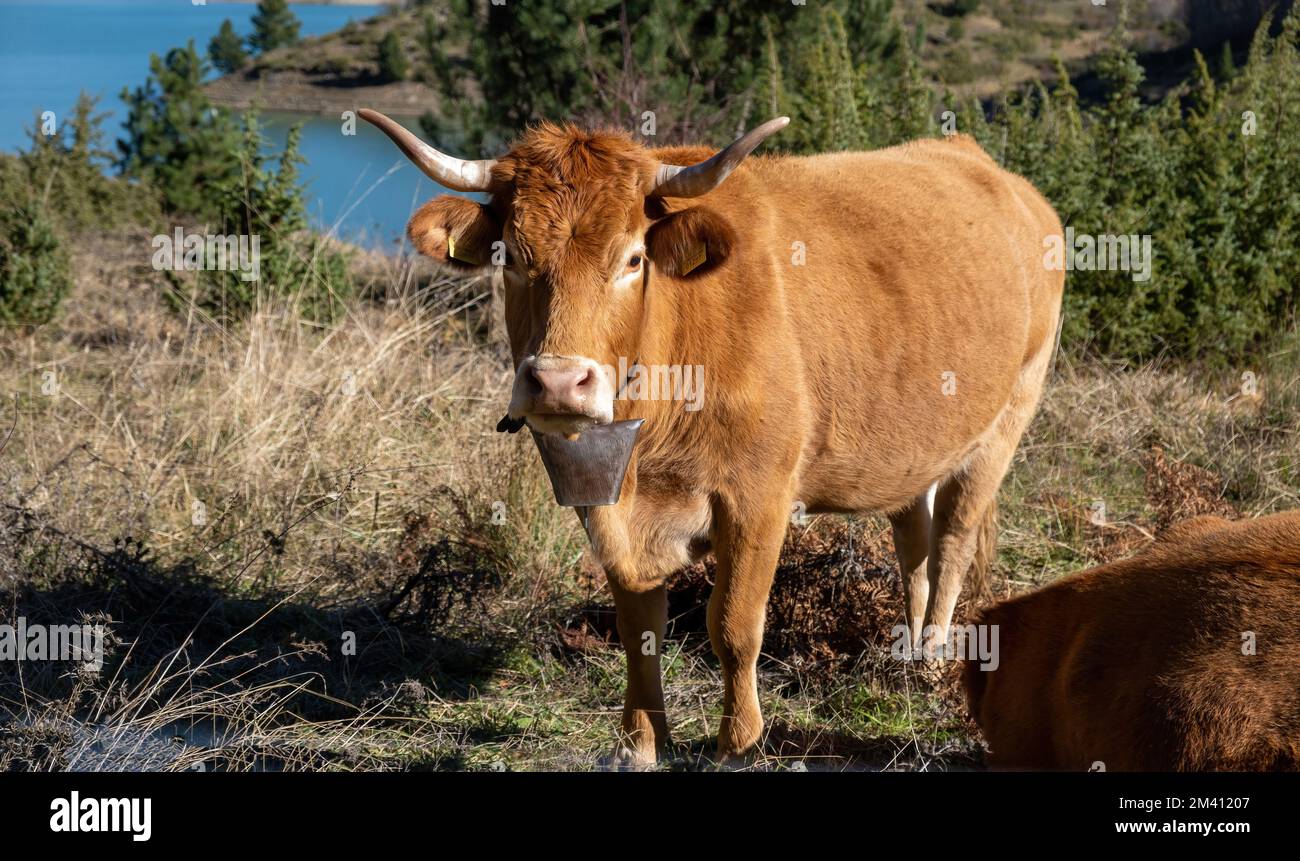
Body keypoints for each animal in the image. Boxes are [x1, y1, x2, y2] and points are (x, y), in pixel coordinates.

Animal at [361, 109, 1060, 769]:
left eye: (633, 258)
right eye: (510, 256)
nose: (558, 382)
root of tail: (988, 169)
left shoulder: (758, 497)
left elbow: (734, 623)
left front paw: (739, 744)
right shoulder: (605, 506)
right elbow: (638, 626)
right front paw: (639, 743)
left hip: (1006, 419)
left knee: (952, 542)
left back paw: (932, 660)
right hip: (915, 448)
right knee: (913, 538)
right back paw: (906, 650)